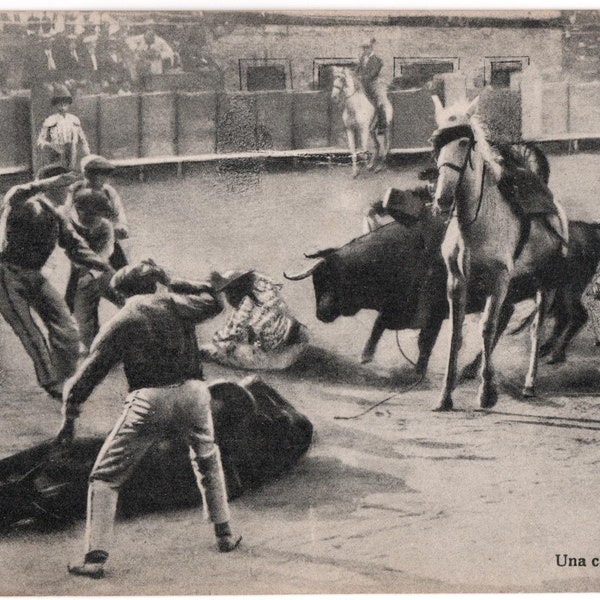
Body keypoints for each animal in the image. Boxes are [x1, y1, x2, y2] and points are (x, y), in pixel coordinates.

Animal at [432, 95, 568, 412]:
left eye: (464, 142)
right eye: (436, 141)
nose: (442, 200)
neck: (476, 222)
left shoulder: (499, 279)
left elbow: (486, 327)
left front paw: (486, 393)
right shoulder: (457, 281)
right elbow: (457, 332)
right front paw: (446, 394)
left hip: (544, 281)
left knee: (535, 328)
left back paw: (529, 383)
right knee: (505, 316)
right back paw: (471, 370)